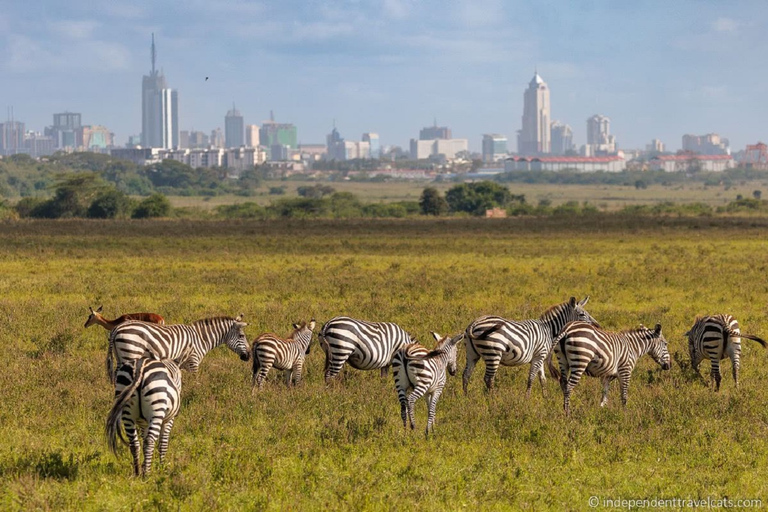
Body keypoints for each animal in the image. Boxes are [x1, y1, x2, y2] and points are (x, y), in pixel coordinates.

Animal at [106, 314, 250, 382]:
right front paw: (196, 395)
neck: (200, 338)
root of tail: (117, 328)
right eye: (242, 336)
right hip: (130, 353)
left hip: (120, 357)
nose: (249, 356)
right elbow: (195, 381)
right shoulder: (193, 362)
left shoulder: (181, 365)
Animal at [462, 296, 600, 396]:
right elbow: (531, 378)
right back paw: (492, 399)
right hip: (493, 353)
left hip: (471, 354)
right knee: (488, 379)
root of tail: (475, 322)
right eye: (582, 315)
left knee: (466, 375)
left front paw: (545, 398)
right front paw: (526, 398)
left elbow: (542, 379)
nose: (598, 326)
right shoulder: (539, 356)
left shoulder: (540, 357)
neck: (549, 330)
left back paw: (466, 398)